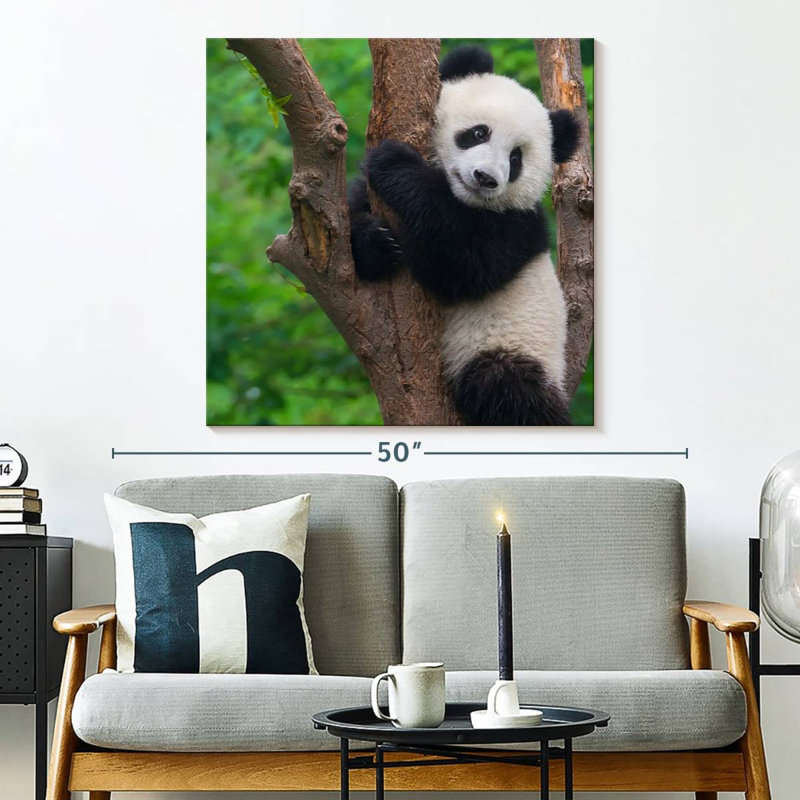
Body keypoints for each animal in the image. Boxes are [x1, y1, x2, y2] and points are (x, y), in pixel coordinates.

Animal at [348, 44, 580, 425]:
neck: (463, 199)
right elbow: (351, 218)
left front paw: (395, 164)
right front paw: (375, 242)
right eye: (478, 133)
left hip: (511, 347)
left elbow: (462, 265)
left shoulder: (518, 227)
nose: (486, 178)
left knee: (506, 389)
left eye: (515, 159)